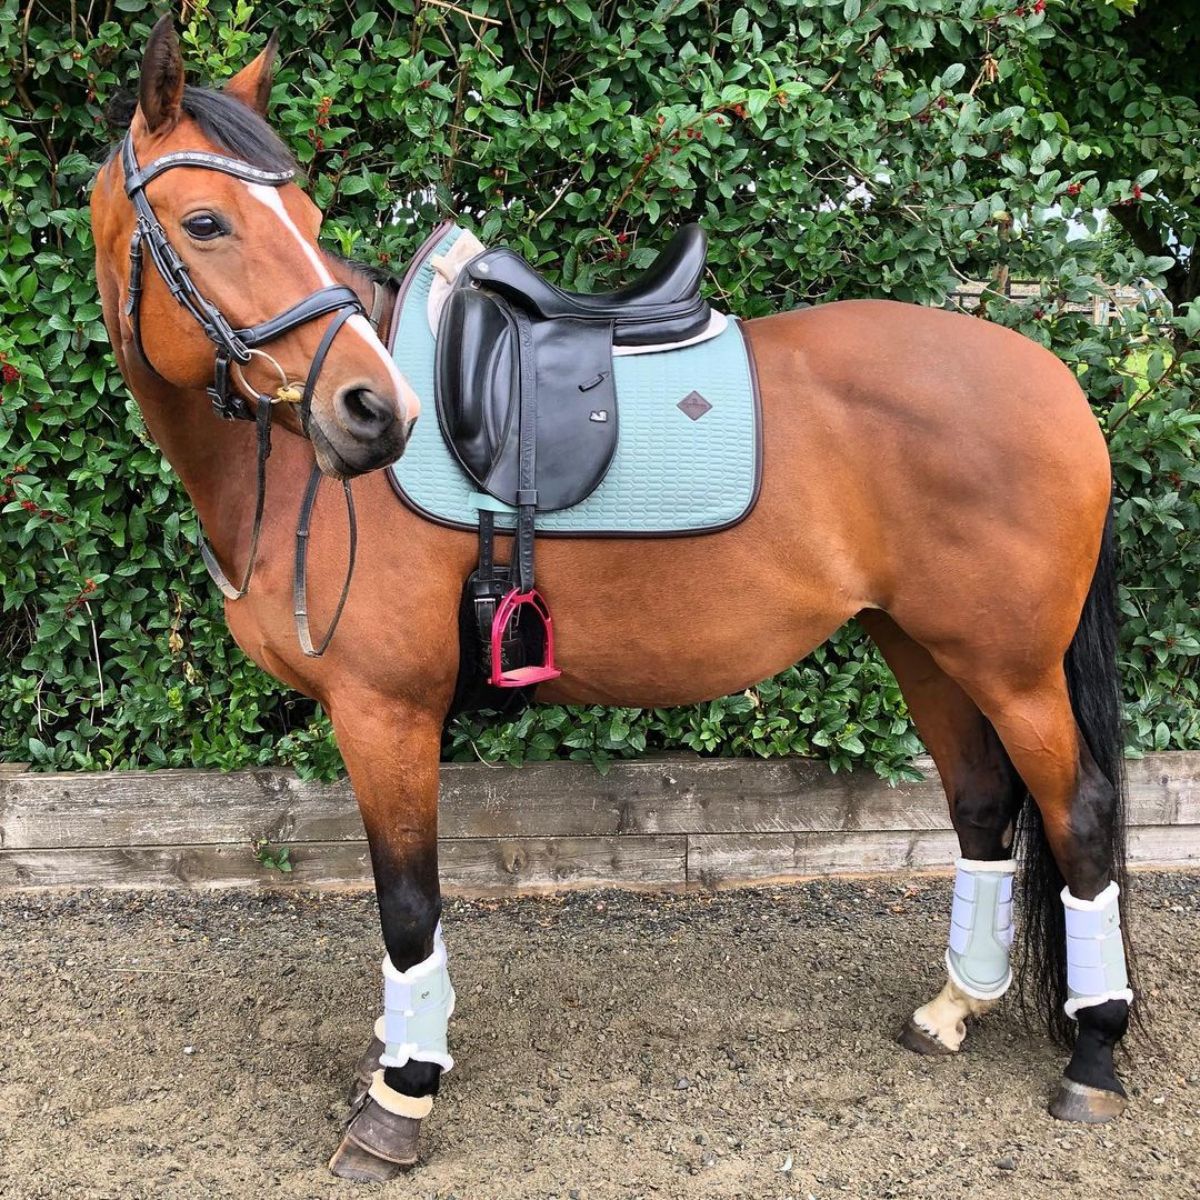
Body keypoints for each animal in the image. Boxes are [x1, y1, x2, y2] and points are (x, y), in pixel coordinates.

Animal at [91, 18, 1132, 1180]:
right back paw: (955, 1006)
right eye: (208, 221)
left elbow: (407, 906)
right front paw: (399, 1050)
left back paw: (1094, 1053)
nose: (375, 413)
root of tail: (1055, 380)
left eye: (310, 223)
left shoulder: (385, 713)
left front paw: (402, 1093)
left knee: (1080, 814)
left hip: (1012, 667)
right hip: (923, 646)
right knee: (984, 806)